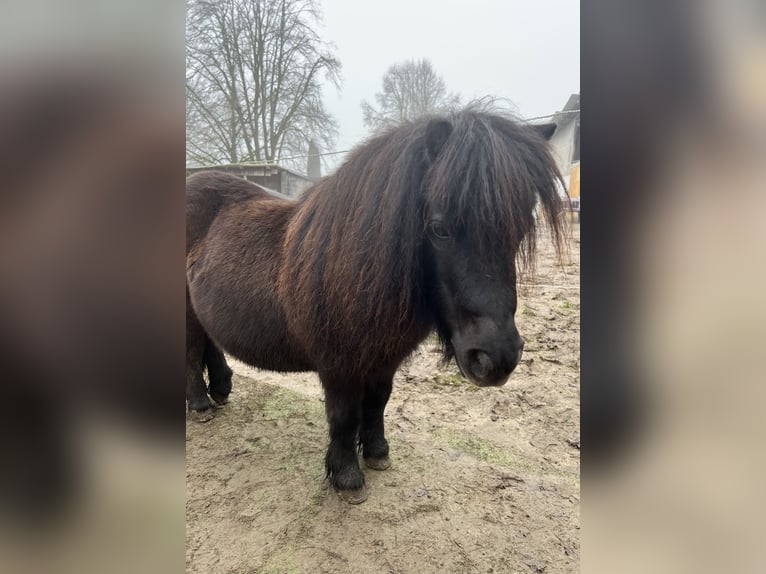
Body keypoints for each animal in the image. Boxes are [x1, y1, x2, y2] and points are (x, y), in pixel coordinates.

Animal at [188, 111, 564, 504]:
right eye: (439, 228)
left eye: (524, 227)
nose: (496, 358)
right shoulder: (339, 365)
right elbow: (344, 415)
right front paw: (347, 475)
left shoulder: (385, 358)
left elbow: (377, 402)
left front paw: (377, 452)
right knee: (192, 353)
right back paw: (200, 405)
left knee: (210, 344)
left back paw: (221, 390)